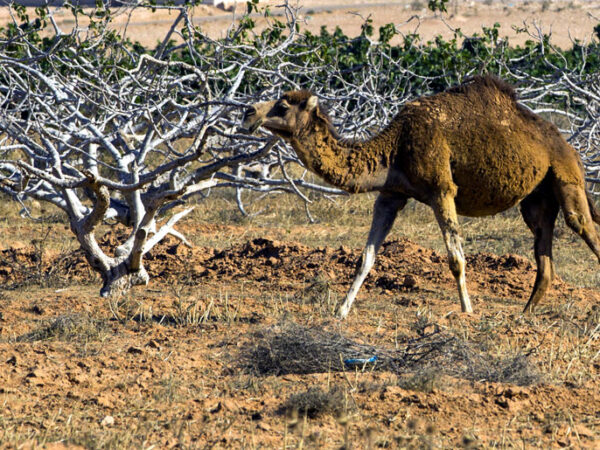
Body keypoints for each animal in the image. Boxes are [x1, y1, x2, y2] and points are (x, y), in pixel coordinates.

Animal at [240, 76, 600, 316]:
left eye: (282, 105)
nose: (248, 112)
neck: (396, 146)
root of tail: (568, 145)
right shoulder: (391, 194)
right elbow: (365, 257)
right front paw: (341, 311)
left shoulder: (442, 188)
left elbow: (456, 258)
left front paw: (467, 311)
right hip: (537, 198)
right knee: (544, 249)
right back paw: (524, 313)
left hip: (566, 176)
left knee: (584, 226)